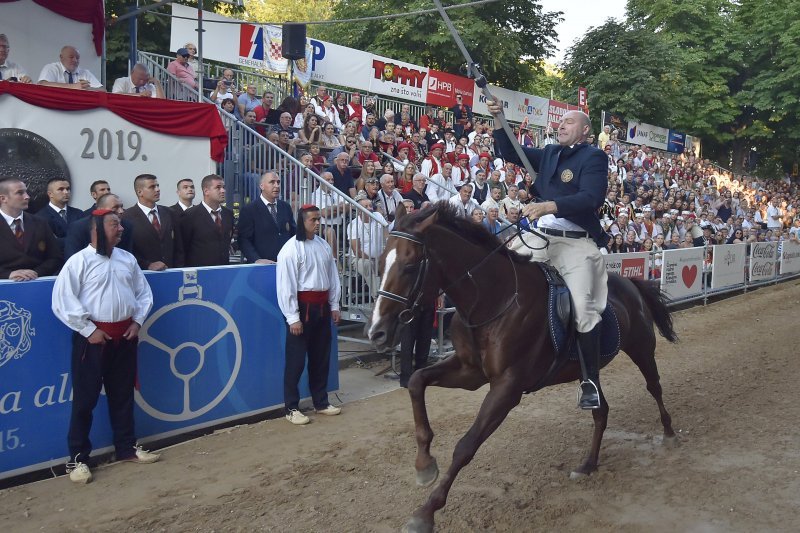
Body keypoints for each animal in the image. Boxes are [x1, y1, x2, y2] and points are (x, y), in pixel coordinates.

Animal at [368, 202, 676, 528]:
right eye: (380, 264)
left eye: (410, 266)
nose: (376, 332)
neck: (493, 299)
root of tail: (629, 283)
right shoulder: (469, 372)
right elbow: (416, 381)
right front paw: (424, 464)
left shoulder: (508, 387)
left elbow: (466, 445)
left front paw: (426, 512)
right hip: (590, 371)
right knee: (601, 411)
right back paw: (588, 464)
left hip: (642, 348)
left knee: (654, 386)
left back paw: (669, 434)